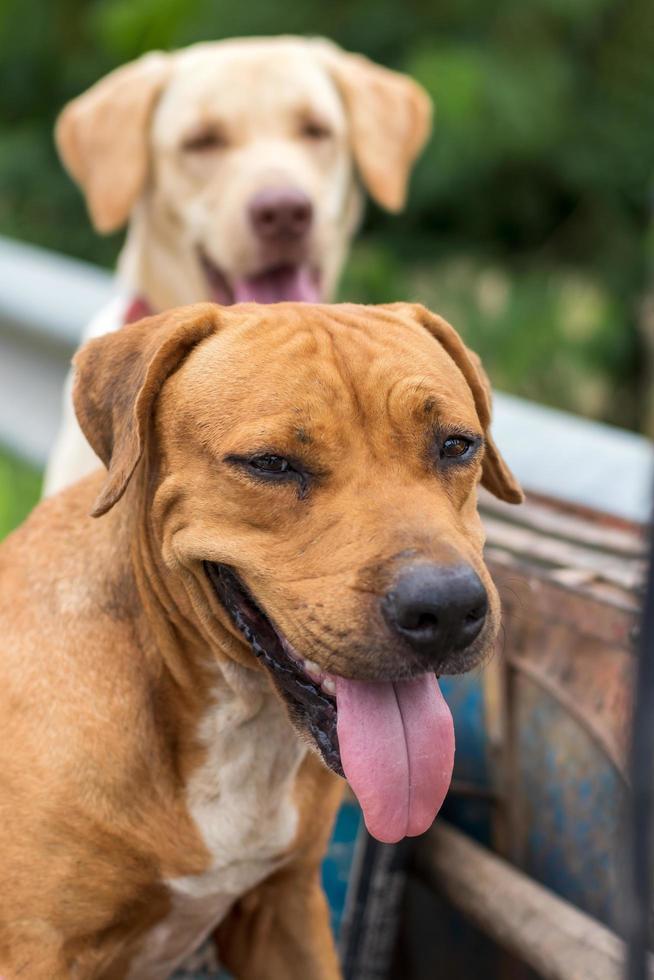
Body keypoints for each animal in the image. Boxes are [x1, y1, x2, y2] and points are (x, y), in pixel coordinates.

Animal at [0, 302, 524, 976]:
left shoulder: (285, 909)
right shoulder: (41, 948)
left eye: (456, 445)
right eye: (271, 464)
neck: (238, 717)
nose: (449, 607)